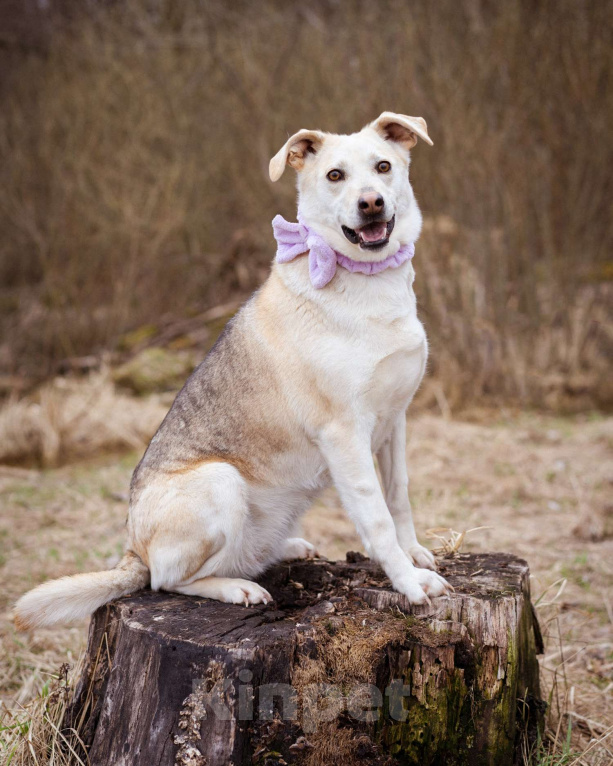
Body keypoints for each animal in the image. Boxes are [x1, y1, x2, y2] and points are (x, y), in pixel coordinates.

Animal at [14, 112, 450, 632]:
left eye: (383, 166)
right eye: (335, 175)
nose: (371, 203)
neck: (368, 282)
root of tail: (132, 551)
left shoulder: (394, 420)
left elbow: (399, 496)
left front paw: (415, 554)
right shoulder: (345, 434)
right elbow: (377, 517)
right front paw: (409, 583)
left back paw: (284, 548)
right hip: (219, 482)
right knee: (167, 580)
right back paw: (235, 587)